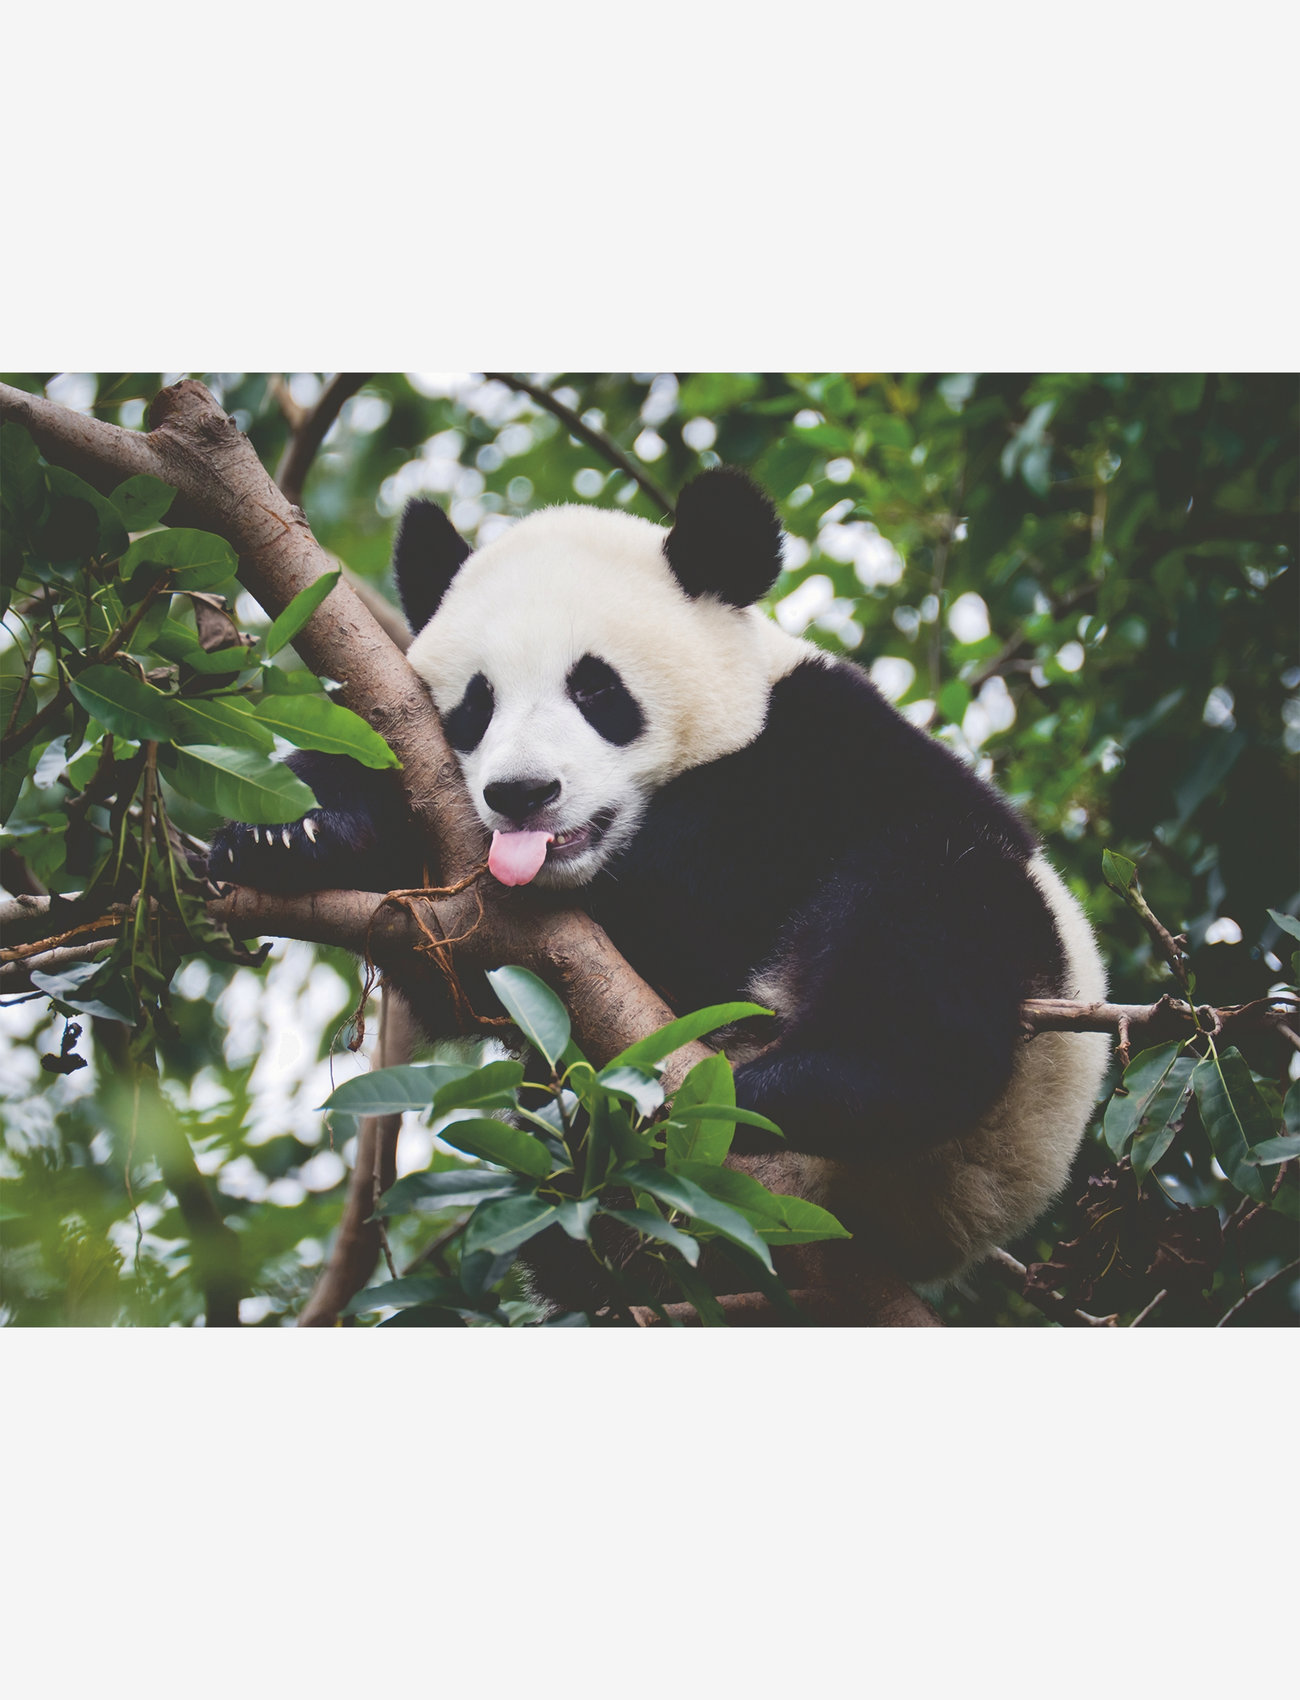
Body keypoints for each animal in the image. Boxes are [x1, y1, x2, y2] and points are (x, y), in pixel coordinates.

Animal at [211, 468, 1109, 1288]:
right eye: (476, 704)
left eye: (596, 689)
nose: (523, 794)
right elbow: (450, 968)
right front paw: (286, 830)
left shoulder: (823, 754)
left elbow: (697, 892)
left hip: (1010, 1072)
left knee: (927, 923)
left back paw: (789, 1088)